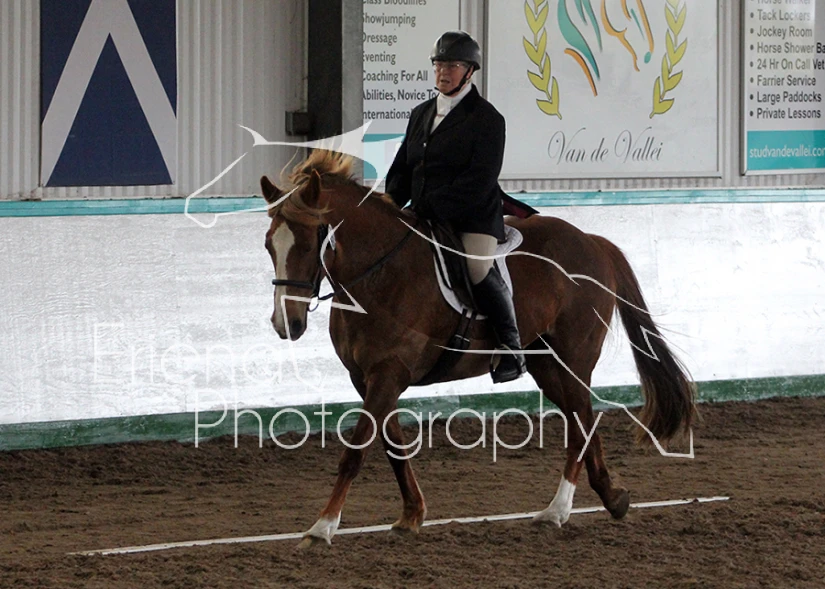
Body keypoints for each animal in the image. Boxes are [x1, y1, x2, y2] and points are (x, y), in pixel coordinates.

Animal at [260, 150, 694, 548]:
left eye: (309, 243)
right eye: (269, 245)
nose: (287, 324)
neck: (378, 275)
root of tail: (592, 241)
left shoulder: (389, 372)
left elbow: (357, 449)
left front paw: (322, 528)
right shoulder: (365, 377)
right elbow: (393, 445)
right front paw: (411, 514)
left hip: (574, 358)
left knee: (581, 425)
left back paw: (558, 510)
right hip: (546, 364)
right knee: (581, 421)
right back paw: (609, 498)